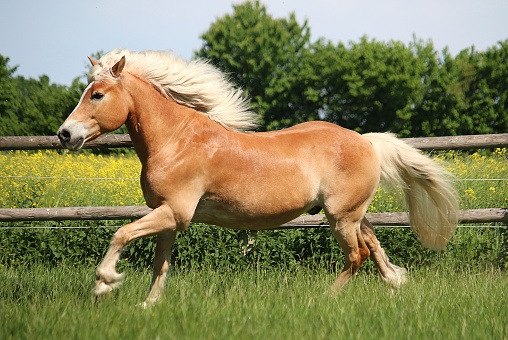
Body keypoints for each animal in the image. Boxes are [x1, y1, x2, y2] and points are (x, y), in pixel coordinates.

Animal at [57, 49, 458, 306]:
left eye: (97, 94)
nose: (64, 134)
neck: (176, 141)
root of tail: (366, 141)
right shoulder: (168, 217)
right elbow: (160, 264)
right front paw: (147, 306)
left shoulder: (176, 213)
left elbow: (121, 233)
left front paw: (105, 284)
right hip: (353, 214)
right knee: (373, 245)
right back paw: (395, 283)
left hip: (341, 217)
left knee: (356, 256)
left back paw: (323, 299)